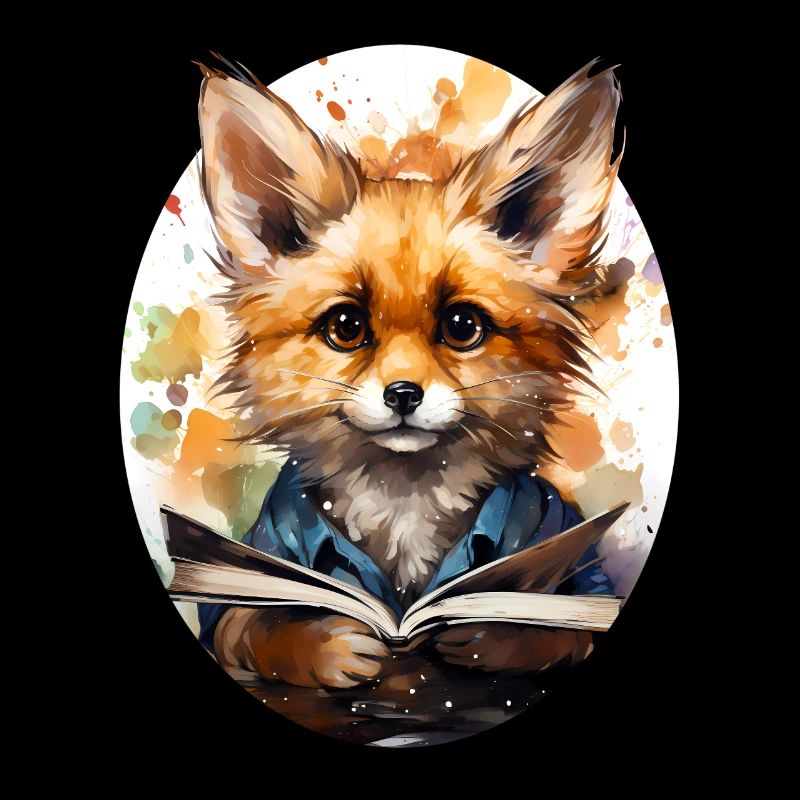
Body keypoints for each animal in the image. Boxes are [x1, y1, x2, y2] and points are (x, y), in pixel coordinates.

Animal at [195, 58, 622, 689]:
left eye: (462, 325)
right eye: (346, 326)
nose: (403, 393)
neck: (404, 506)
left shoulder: (565, 550)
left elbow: (560, 625)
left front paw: (491, 631)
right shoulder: (257, 561)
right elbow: (249, 624)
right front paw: (323, 644)